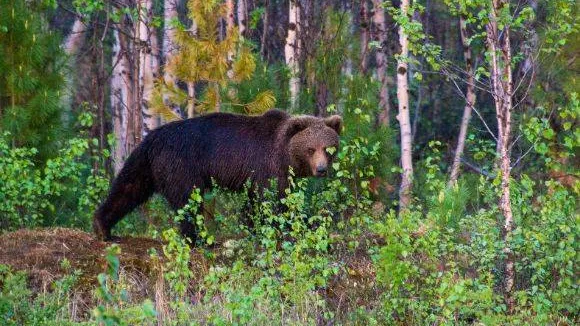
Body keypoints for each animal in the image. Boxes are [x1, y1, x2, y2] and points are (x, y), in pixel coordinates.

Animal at [93, 111, 342, 241]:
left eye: (328, 148)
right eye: (311, 149)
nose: (321, 169)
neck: (285, 154)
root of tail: (152, 138)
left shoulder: (261, 174)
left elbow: (255, 202)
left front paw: (251, 226)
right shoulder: (268, 166)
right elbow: (273, 201)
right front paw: (293, 227)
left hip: (146, 164)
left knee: (129, 187)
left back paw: (103, 226)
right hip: (182, 164)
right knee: (188, 201)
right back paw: (198, 238)